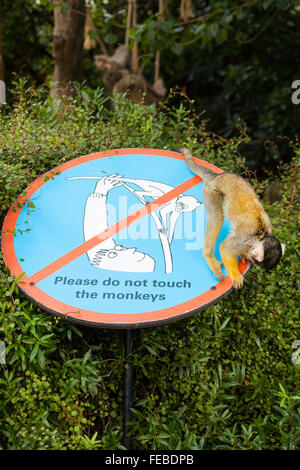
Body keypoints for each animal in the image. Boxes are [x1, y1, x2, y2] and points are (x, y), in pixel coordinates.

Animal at [180, 148, 286, 286]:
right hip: (211, 190)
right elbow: (225, 247)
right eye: (256, 262)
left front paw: (244, 254)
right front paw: (236, 276)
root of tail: (217, 176)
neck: (262, 235)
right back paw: (209, 256)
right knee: (216, 216)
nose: (251, 257)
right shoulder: (244, 239)